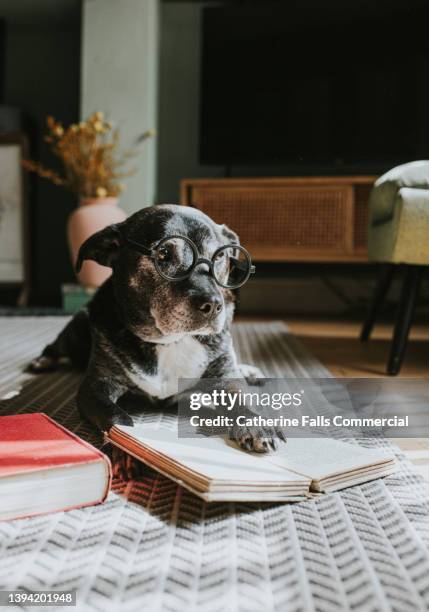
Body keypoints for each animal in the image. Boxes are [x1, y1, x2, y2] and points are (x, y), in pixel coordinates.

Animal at [30, 206, 284, 454]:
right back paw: (42, 360)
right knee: (55, 345)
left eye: (220, 255)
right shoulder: (96, 387)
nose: (213, 305)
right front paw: (125, 443)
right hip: (78, 326)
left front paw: (255, 424)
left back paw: (249, 371)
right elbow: (117, 418)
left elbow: (240, 397)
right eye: (163, 254)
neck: (169, 341)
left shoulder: (224, 375)